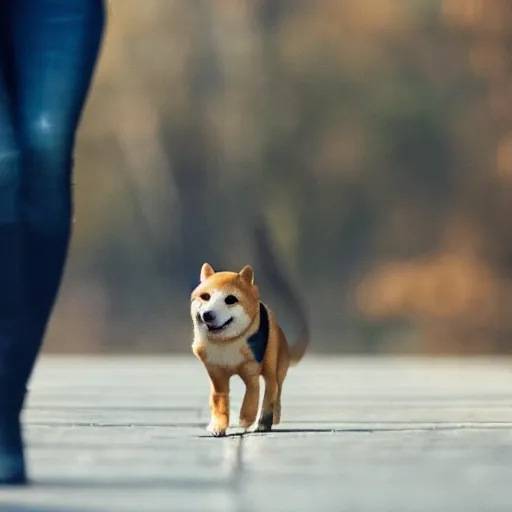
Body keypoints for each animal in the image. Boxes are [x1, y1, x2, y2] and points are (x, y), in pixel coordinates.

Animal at [188, 224, 308, 436]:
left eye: (230, 299)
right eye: (205, 296)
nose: (208, 315)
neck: (226, 344)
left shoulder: (251, 370)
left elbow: (252, 397)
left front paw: (245, 420)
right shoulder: (216, 374)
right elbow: (219, 401)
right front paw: (217, 426)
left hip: (272, 364)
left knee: (273, 389)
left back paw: (265, 422)